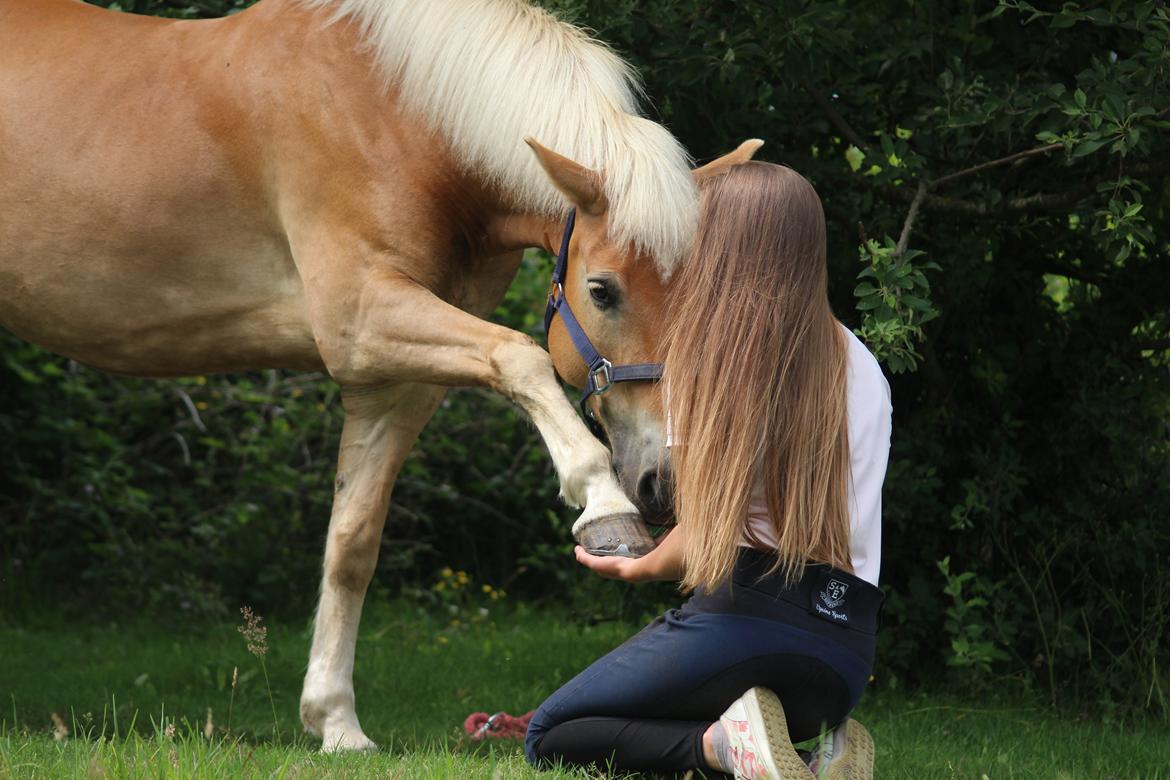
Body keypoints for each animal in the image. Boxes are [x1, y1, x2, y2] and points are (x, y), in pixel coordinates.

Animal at [0, 0, 758, 753]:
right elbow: (523, 357)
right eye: (601, 290)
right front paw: (604, 507)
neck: (399, 114)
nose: (661, 482)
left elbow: (351, 545)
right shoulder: (360, 322)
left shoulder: (394, 381)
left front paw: (335, 722)